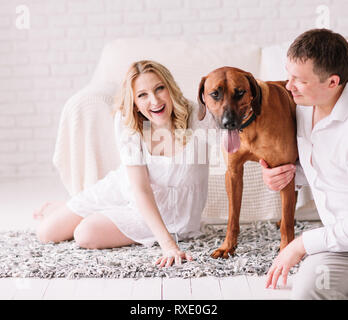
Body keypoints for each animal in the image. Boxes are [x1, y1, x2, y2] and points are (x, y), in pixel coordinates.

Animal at [197, 66, 298, 258]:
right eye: (215, 94)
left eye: (240, 92)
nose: (229, 123)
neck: (252, 124)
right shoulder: (233, 173)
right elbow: (232, 217)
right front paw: (227, 246)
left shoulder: (283, 170)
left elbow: (287, 222)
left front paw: (286, 249)